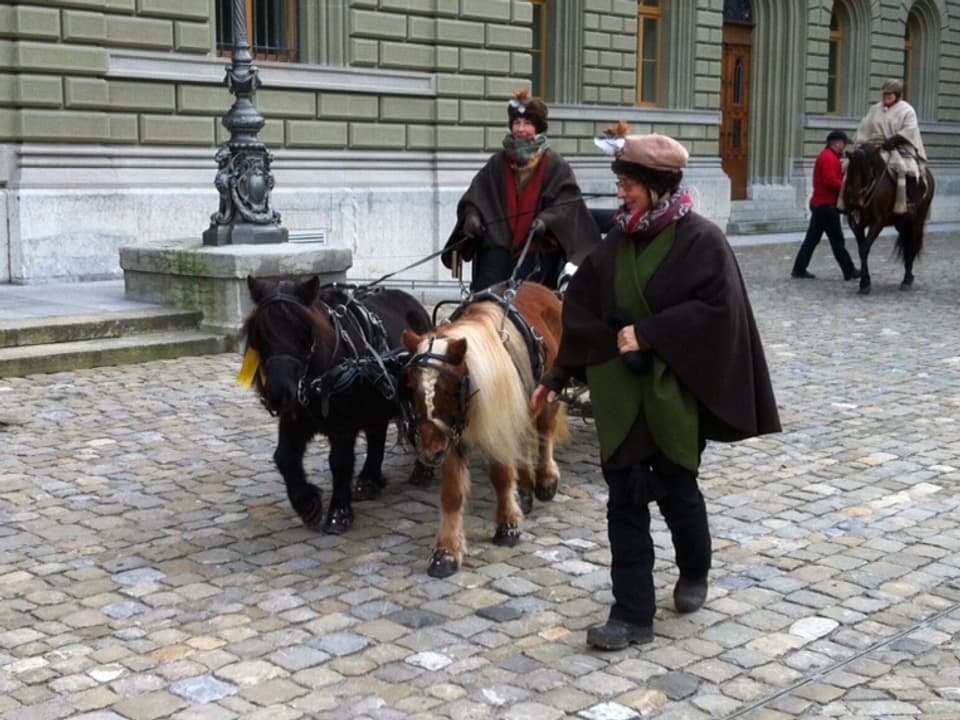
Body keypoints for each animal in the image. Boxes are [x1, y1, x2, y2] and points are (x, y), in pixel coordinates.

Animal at [242, 276, 434, 536]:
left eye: (304, 332)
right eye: (260, 334)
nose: (279, 394)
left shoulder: (343, 425)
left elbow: (340, 461)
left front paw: (338, 514)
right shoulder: (295, 420)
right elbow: (284, 457)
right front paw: (308, 505)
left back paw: (423, 469)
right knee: (376, 432)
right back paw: (369, 480)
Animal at [402, 282, 568, 580]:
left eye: (450, 390)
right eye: (411, 388)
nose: (428, 453)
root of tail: (544, 289)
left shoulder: (498, 427)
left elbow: (501, 476)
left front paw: (508, 525)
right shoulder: (452, 439)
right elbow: (452, 494)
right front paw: (446, 552)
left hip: (549, 394)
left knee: (544, 434)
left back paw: (545, 479)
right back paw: (525, 490)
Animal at [844, 143, 932, 292]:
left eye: (867, 173)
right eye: (850, 171)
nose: (855, 203)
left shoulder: (878, 222)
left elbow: (864, 248)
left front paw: (865, 283)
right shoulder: (857, 225)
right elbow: (862, 249)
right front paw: (864, 281)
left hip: (917, 219)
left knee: (912, 244)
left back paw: (906, 280)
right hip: (901, 223)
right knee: (907, 243)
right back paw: (908, 276)